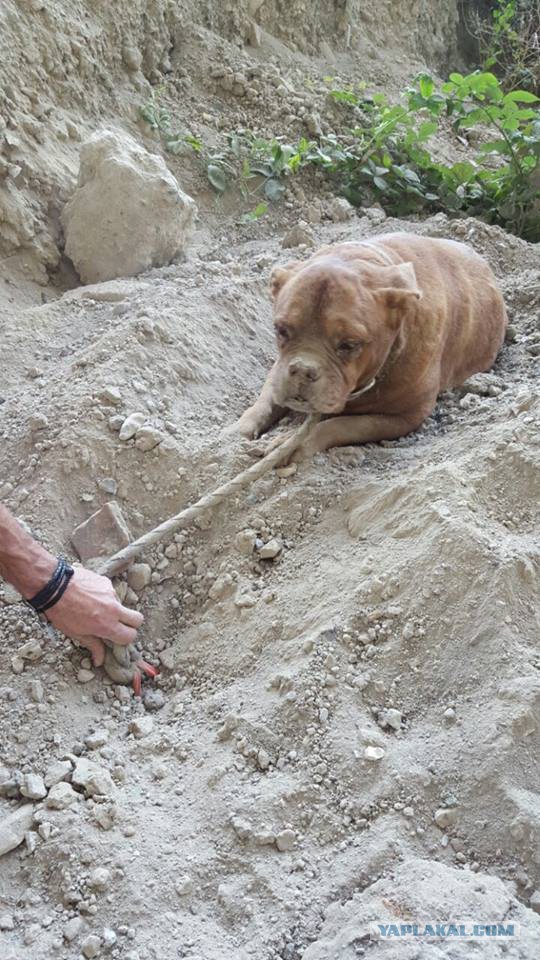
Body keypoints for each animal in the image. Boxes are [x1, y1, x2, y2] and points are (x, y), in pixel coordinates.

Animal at [234, 231, 508, 460]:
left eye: (349, 344)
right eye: (281, 330)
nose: (302, 369)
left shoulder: (407, 416)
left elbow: (338, 425)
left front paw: (290, 445)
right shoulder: (278, 370)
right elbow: (265, 401)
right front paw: (236, 432)